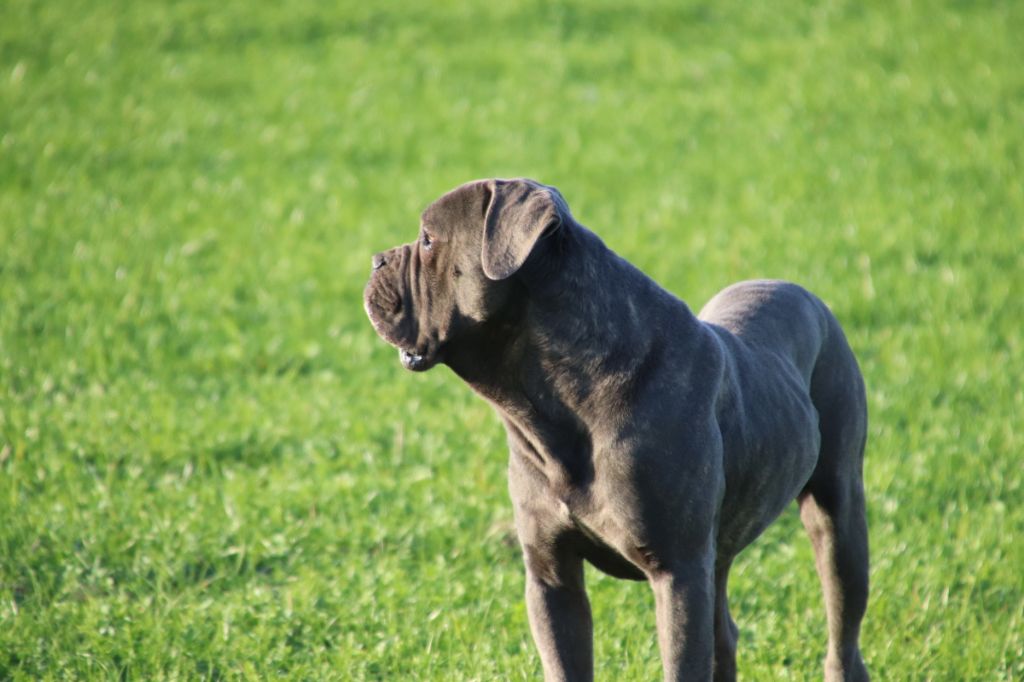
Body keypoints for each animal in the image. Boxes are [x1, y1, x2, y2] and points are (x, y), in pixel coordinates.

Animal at [363, 178, 869, 681]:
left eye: (428, 240)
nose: (376, 260)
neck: (558, 402)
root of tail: (804, 294)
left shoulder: (678, 574)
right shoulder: (551, 576)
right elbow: (565, 662)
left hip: (838, 516)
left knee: (841, 626)